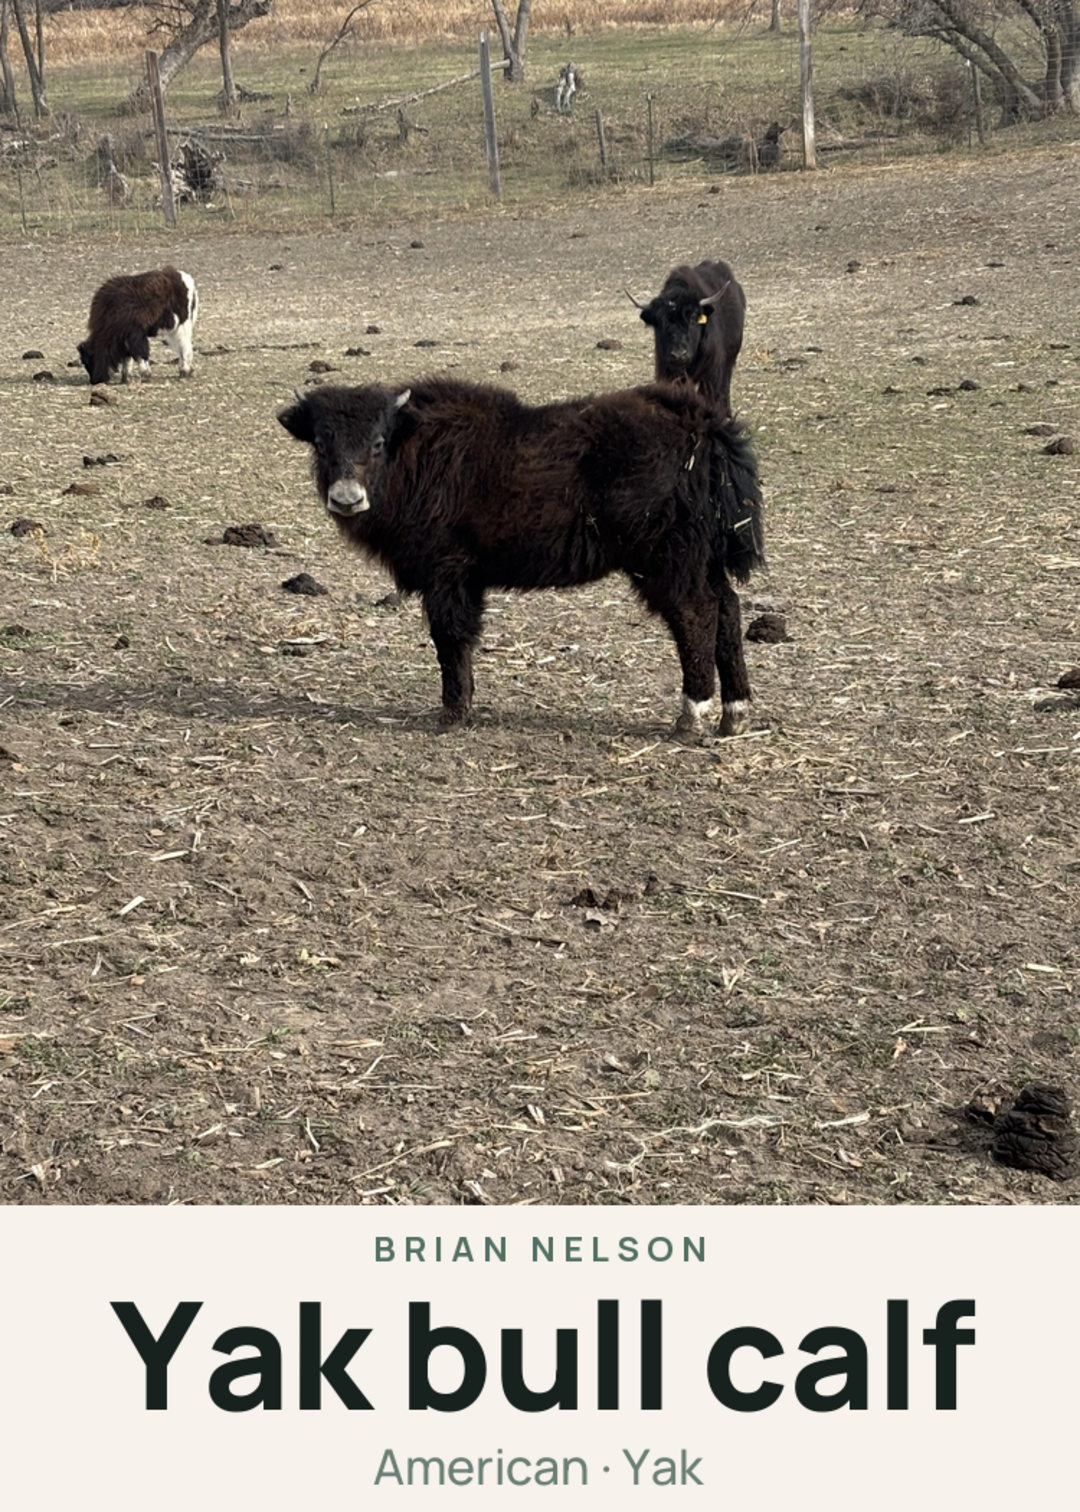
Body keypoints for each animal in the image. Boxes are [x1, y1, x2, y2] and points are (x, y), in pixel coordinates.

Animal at [278, 377, 764, 736]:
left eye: (378, 442)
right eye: (320, 443)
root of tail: (699, 422)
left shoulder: (447, 574)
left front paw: (452, 715)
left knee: (696, 615)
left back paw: (690, 718)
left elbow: (449, 638)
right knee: (727, 609)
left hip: (668, 561)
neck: (412, 450)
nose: (346, 499)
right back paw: (734, 714)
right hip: (703, 560)